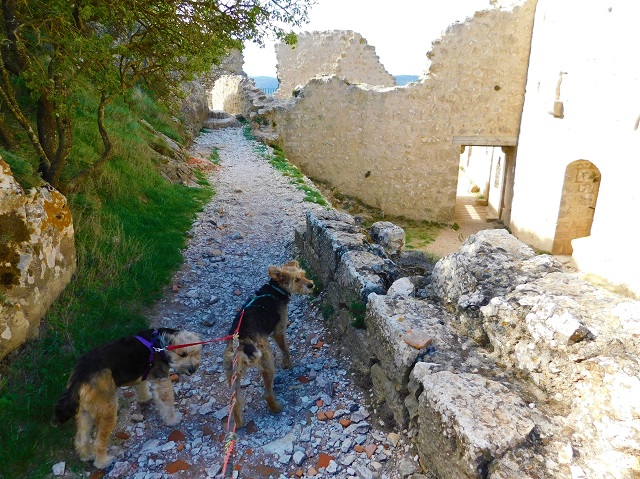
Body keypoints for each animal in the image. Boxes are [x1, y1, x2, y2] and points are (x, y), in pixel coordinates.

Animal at [54, 328, 201, 470]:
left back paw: (87, 456)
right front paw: (172, 420)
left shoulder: (142, 376)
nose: (192, 370)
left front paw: (145, 398)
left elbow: (141, 387)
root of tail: (79, 377)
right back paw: (103, 462)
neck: (160, 344)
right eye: (182, 354)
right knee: (97, 442)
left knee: (81, 438)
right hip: (107, 410)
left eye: (195, 353)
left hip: (84, 413)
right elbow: (167, 403)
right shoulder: (162, 381)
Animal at [224, 260, 316, 430]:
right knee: (266, 393)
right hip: (267, 361)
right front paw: (288, 364)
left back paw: (239, 423)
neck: (274, 289)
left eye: (304, 274)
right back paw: (276, 408)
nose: (311, 284)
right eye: (297, 280)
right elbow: (285, 349)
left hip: (233, 376)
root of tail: (243, 345)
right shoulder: (279, 330)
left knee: (236, 401)